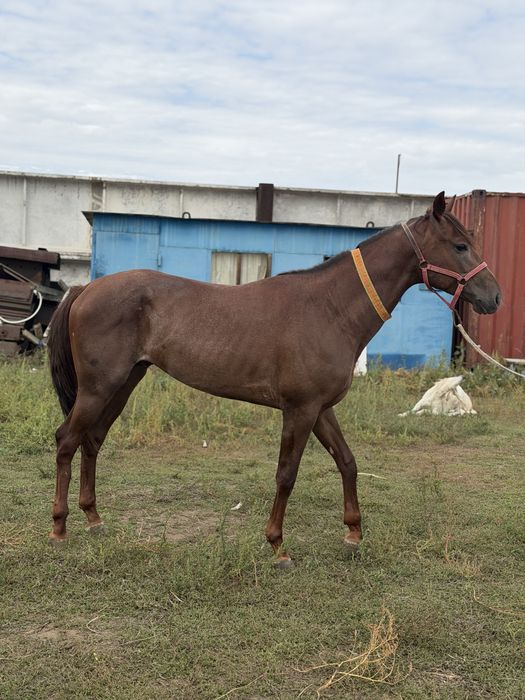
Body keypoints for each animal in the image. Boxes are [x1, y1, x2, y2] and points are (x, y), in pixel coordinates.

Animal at [47, 192, 501, 567]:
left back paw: (94, 518)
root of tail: (86, 289)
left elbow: (348, 462)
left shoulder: (320, 409)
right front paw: (278, 546)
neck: (330, 307)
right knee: (67, 440)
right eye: (460, 245)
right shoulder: (299, 410)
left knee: (92, 441)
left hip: (122, 384)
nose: (494, 296)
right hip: (99, 388)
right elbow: (286, 475)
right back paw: (59, 528)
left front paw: (353, 534)